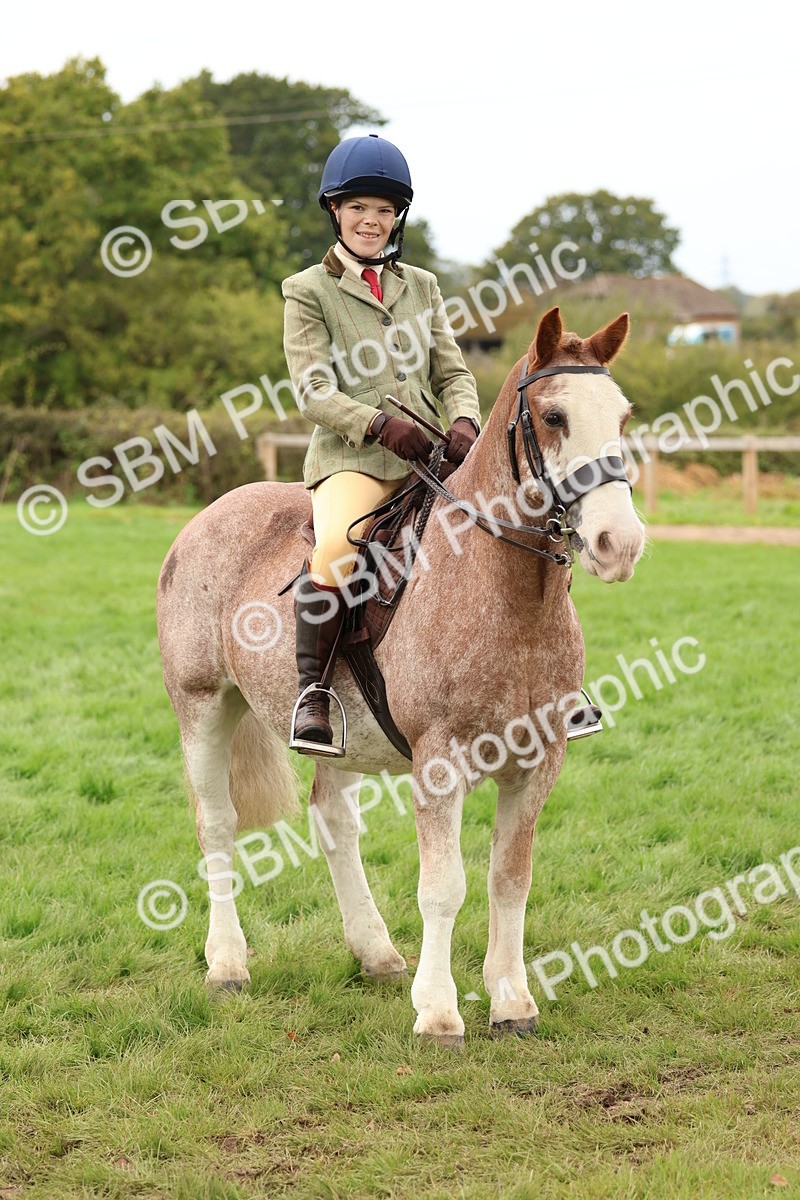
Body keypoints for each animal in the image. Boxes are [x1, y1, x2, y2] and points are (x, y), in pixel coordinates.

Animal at [156, 305, 645, 1046]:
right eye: (555, 416)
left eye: (622, 416)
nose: (621, 544)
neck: (502, 587)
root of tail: (208, 516)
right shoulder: (439, 763)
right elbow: (445, 887)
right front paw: (439, 1013)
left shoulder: (539, 762)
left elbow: (510, 879)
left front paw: (512, 1002)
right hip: (202, 707)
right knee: (215, 824)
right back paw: (228, 964)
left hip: (339, 732)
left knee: (332, 819)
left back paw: (377, 954)